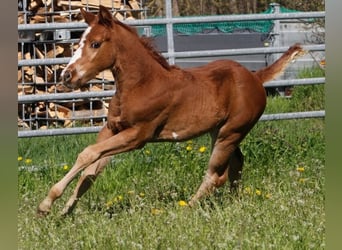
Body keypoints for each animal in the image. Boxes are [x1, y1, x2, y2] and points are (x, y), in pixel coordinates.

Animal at [37, 4, 304, 216]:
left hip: (230, 132)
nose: (67, 76)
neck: (142, 84)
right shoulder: (112, 129)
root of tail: (256, 78)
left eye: (95, 43)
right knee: (236, 164)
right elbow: (90, 171)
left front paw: (46, 204)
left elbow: (88, 154)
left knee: (216, 175)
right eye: (79, 42)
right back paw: (234, 201)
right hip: (220, 131)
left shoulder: (137, 136)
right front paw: (65, 211)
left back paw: (187, 208)